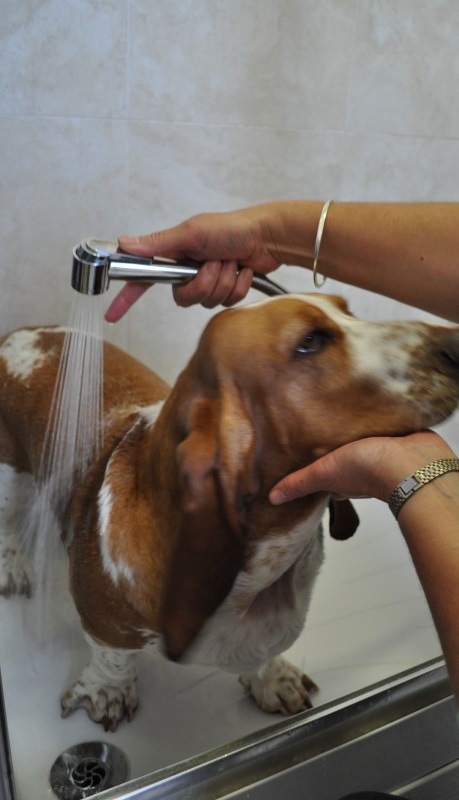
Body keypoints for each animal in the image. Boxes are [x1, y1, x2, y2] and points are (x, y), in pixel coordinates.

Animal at [0, 294, 459, 732]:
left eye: (349, 312)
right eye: (309, 342)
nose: (456, 340)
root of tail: (21, 333)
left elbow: (267, 651)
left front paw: (273, 680)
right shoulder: (104, 624)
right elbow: (112, 659)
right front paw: (107, 692)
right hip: (10, 471)